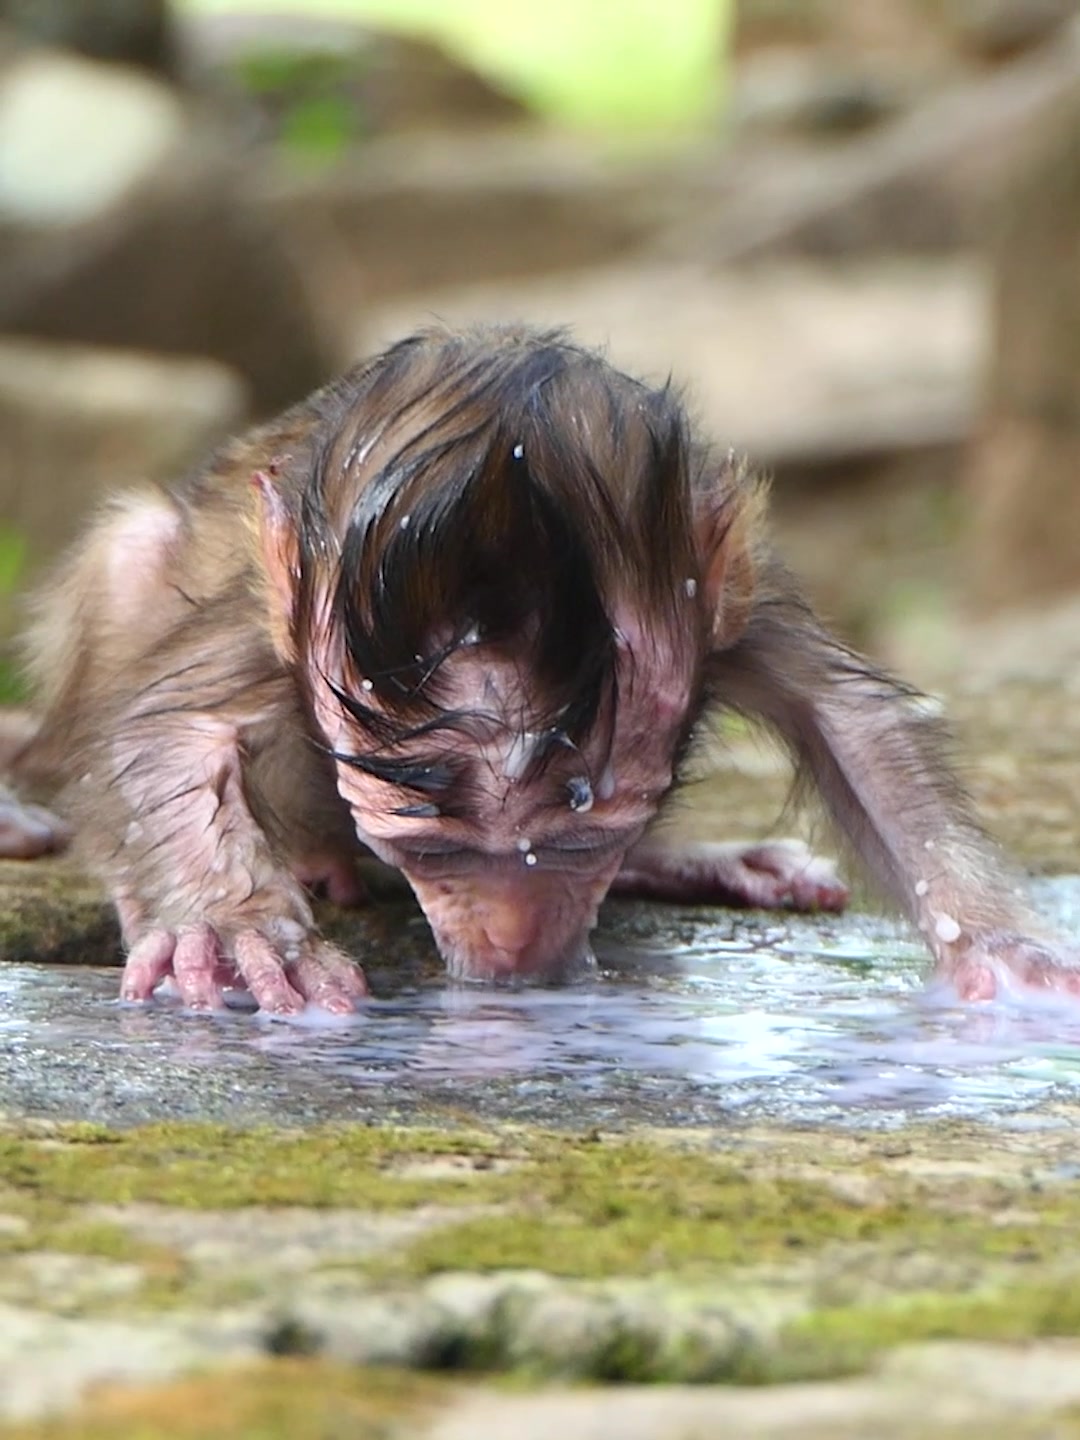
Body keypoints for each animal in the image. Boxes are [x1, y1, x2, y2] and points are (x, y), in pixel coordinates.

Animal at [4, 323, 1076, 1014]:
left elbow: (854, 726)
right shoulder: (274, 617)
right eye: (432, 856)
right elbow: (158, 730)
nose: (511, 952)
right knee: (134, 555)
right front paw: (232, 926)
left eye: (580, 844)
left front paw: (1001, 950)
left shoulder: (734, 594)